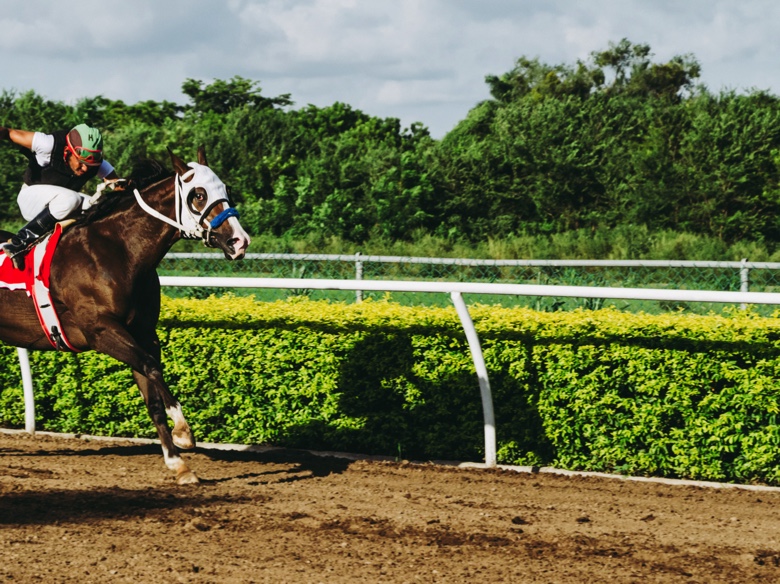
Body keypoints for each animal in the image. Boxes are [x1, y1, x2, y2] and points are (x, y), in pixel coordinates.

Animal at [0, 147, 251, 484]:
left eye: (226, 190)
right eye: (198, 194)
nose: (239, 241)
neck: (119, 252)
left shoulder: (143, 333)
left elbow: (152, 392)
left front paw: (178, 464)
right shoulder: (101, 331)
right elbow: (152, 369)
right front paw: (183, 432)